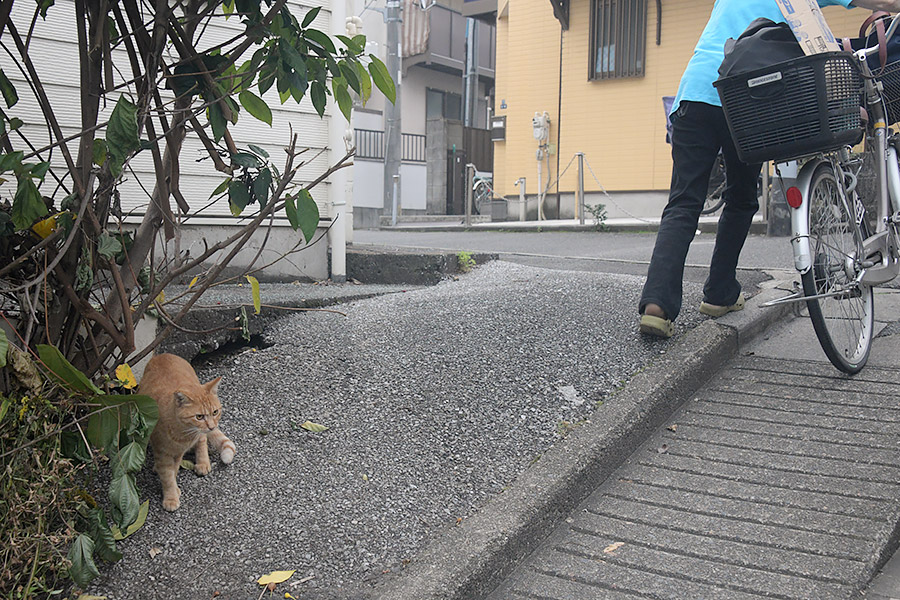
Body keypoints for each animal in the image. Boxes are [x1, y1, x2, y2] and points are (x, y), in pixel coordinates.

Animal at [137, 352, 236, 510]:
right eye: (199, 416)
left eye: (215, 412)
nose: (211, 426)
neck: (182, 434)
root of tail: (163, 354)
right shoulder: (162, 452)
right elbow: (167, 475)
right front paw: (171, 495)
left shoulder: (178, 453)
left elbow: (173, 471)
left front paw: (173, 493)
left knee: (202, 440)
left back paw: (202, 462)